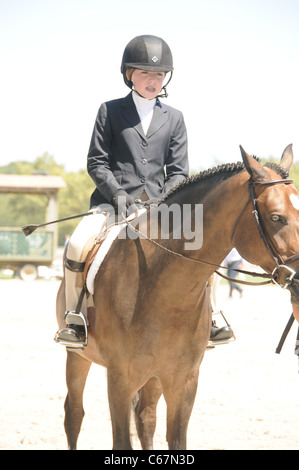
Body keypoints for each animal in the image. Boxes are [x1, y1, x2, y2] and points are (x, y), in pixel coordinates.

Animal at [56, 144, 299, 452]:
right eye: (276, 217)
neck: (163, 292)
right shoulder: (120, 378)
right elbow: (121, 441)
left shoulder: (183, 381)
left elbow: (176, 439)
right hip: (77, 355)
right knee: (74, 415)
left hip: (153, 376)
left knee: (146, 418)